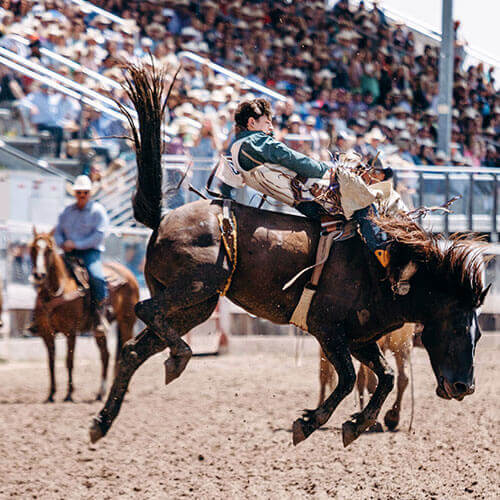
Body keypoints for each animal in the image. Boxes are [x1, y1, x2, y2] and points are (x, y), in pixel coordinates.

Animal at [29, 229, 139, 402]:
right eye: (33, 248)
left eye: (49, 250)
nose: (39, 274)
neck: (56, 290)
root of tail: (129, 275)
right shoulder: (47, 333)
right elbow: (51, 362)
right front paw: (51, 394)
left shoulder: (70, 331)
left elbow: (69, 360)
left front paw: (69, 394)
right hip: (99, 330)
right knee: (106, 355)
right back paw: (101, 392)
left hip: (126, 322)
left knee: (124, 351)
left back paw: (123, 390)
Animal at [90, 65, 488, 446]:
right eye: (456, 326)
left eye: (480, 334)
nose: (464, 388)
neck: (387, 270)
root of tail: (163, 218)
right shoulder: (327, 329)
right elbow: (347, 379)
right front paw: (309, 423)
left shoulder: (360, 339)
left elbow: (385, 377)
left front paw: (356, 425)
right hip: (198, 285)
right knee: (145, 310)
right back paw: (179, 358)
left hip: (195, 305)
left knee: (133, 348)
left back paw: (102, 421)